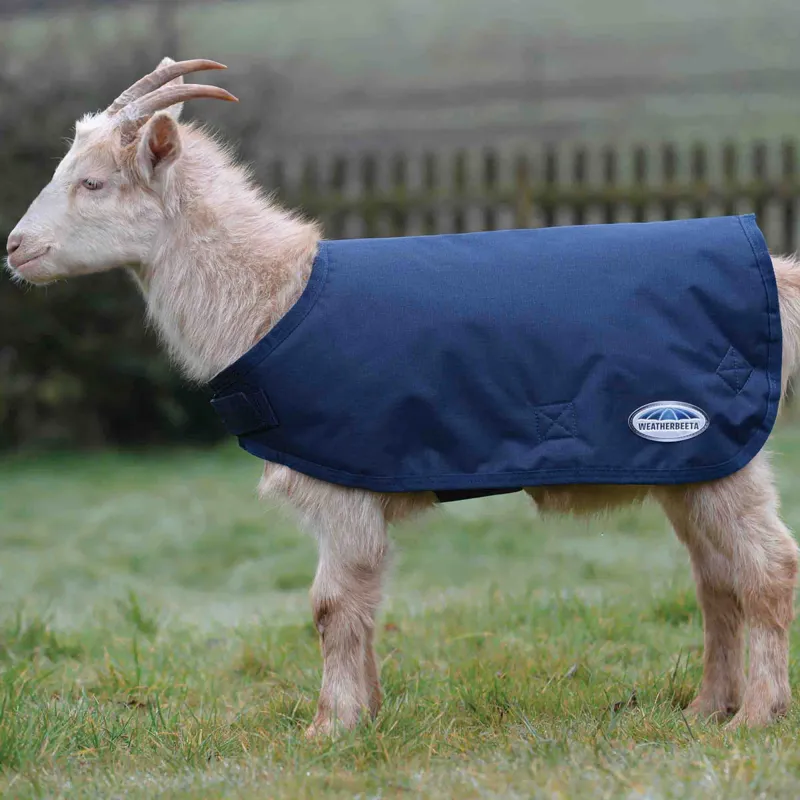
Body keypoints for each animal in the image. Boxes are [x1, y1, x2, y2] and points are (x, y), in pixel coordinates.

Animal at [6, 58, 800, 735]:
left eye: (93, 184)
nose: (14, 248)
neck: (274, 298)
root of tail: (775, 274)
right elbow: (364, 605)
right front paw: (369, 714)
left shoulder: (342, 486)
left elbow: (331, 607)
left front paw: (328, 729)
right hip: (693, 466)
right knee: (716, 581)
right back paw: (706, 708)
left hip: (718, 451)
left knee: (767, 570)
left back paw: (756, 717)